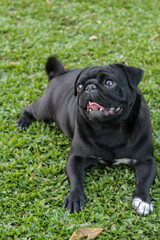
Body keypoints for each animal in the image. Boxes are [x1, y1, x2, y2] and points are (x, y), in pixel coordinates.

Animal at [16, 57, 157, 217]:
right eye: (80, 86)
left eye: (109, 83)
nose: (89, 87)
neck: (111, 128)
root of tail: (60, 73)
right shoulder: (75, 158)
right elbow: (76, 178)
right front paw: (75, 197)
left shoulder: (147, 161)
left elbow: (143, 181)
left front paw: (143, 200)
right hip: (44, 110)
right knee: (29, 107)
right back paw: (23, 121)